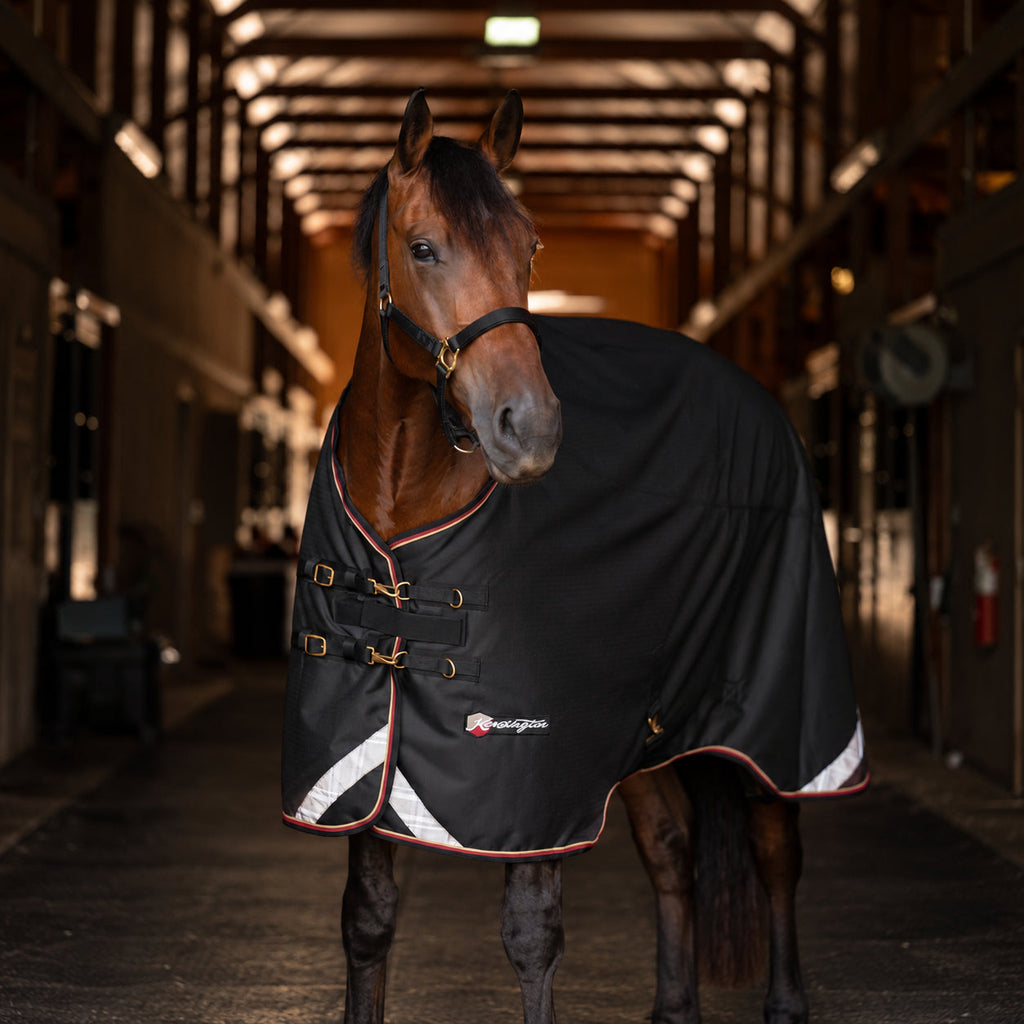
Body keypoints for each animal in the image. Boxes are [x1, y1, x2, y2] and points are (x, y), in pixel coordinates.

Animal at [283, 88, 866, 1024]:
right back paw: (674, 1006)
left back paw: (785, 1002)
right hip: (641, 725)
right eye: (422, 246)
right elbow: (368, 921)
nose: (529, 427)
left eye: (529, 247)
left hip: (777, 709)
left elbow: (530, 937)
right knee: (670, 843)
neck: (408, 504)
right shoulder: (362, 771)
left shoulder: (536, 780)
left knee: (777, 841)